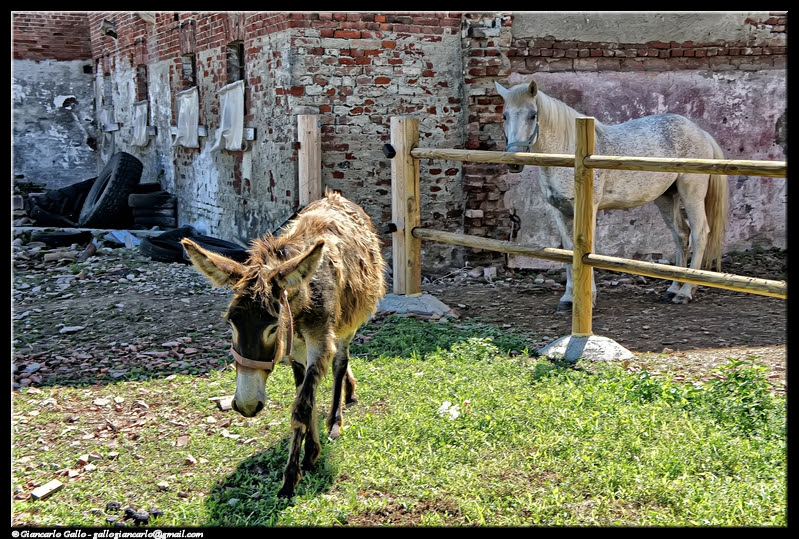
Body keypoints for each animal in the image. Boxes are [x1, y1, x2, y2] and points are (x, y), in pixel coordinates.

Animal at [181, 189, 386, 498]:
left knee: (340, 362)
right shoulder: (296, 349)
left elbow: (302, 405)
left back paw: (335, 420)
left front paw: (291, 477)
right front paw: (311, 452)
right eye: (230, 324)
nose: (246, 406)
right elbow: (305, 397)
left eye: (273, 327)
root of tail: (335, 196)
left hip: (349, 323)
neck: (303, 298)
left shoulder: (319, 341)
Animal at [495, 79, 729, 311]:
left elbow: (586, 248)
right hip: (666, 197)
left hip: (692, 194)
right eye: (505, 116)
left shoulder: (587, 209)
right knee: (681, 234)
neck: (569, 154)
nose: (513, 161)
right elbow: (569, 250)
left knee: (700, 233)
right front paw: (568, 299)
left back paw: (685, 292)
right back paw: (673, 289)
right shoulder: (559, 211)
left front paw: (589, 298)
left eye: (532, 115)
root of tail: (700, 132)